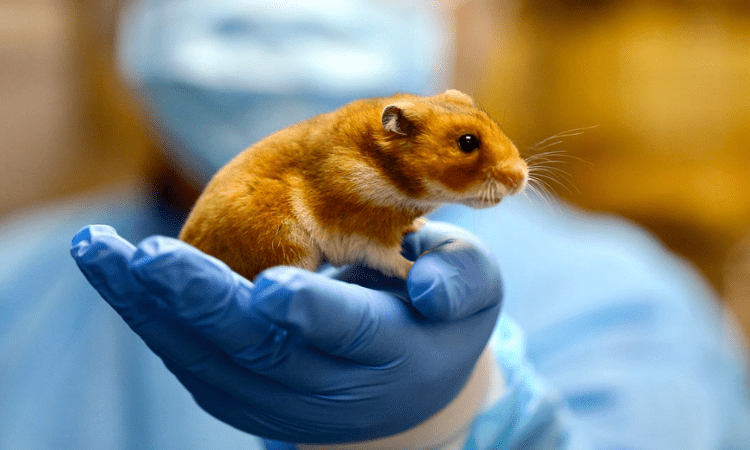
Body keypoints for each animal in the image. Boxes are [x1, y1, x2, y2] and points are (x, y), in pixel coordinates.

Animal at [179, 89, 527, 281]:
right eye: (467, 142)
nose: (522, 178)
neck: (388, 174)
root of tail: (187, 242)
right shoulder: (359, 235)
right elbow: (389, 260)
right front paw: (416, 267)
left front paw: (418, 226)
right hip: (282, 242)